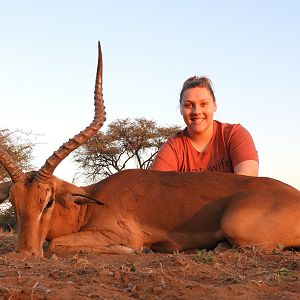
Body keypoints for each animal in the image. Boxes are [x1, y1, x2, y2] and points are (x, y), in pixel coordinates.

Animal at [0, 42, 300, 258]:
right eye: (14, 201)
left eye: (48, 201)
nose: (25, 254)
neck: (90, 204)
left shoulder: (118, 234)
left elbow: (55, 244)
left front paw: (139, 250)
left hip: (235, 224)